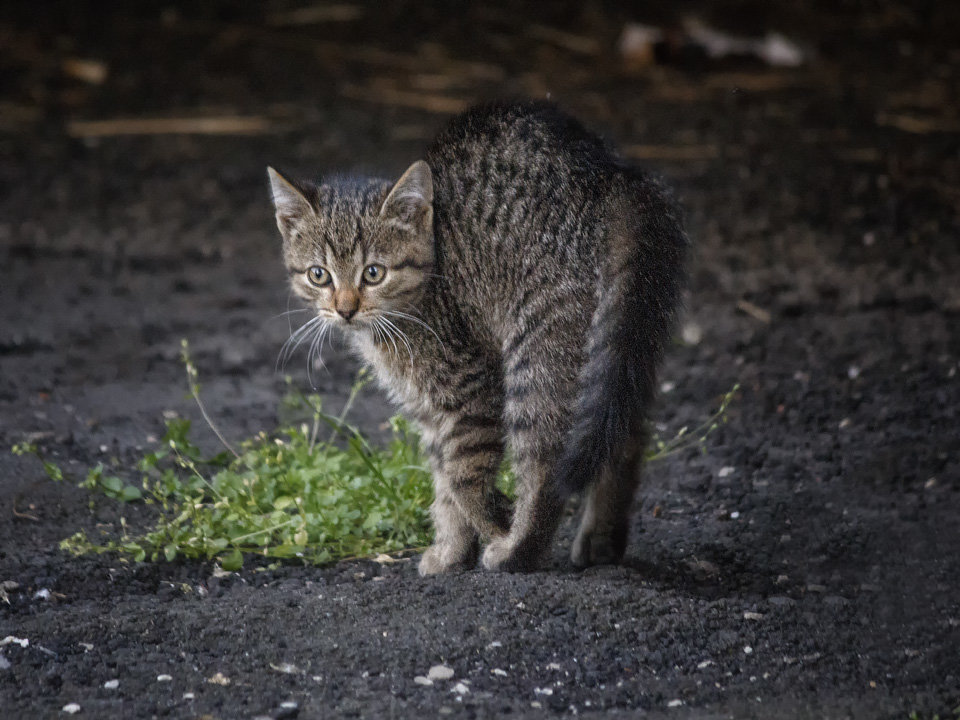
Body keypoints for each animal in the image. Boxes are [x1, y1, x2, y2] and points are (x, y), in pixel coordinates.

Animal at [266, 100, 688, 572]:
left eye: (373, 273)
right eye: (318, 275)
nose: (345, 309)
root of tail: (609, 172)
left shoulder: (469, 389)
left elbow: (462, 477)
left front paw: (493, 524)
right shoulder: (433, 412)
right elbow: (444, 479)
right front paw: (452, 551)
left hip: (538, 350)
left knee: (547, 464)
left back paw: (519, 549)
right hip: (626, 338)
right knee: (622, 433)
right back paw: (602, 540)